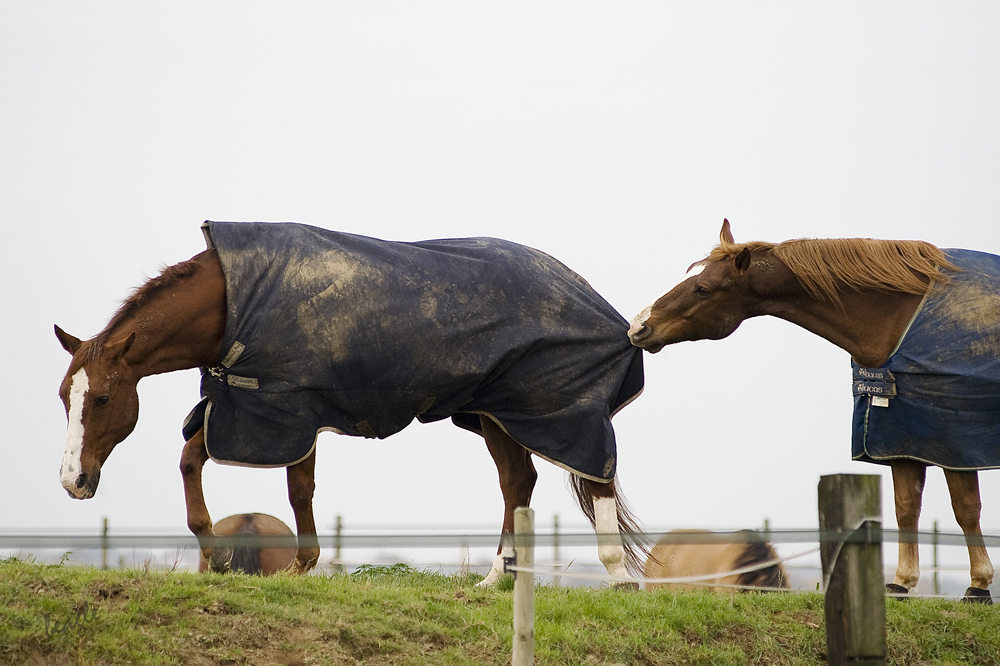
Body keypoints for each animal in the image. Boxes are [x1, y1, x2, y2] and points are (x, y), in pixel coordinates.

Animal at [56, 221, 647, 587]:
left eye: (102, 398)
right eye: (65, 395)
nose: (73, 482)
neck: (232, 304)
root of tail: (599, 303)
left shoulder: (286, 412)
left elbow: (297, 490)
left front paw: (299, 568)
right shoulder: (246, 408)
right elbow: (190, 462)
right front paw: (218, 552)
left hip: (560, 411)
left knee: (594, 476)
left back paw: (617, 576)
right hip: (495, 413)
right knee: (517, 481)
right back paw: (494, 578)